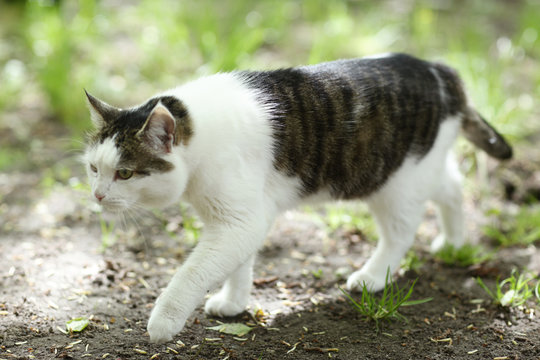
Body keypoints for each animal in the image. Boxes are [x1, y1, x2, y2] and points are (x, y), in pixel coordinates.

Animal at [83, 53, 510, 344]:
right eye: (93, 169)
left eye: (125, 173)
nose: (98, 195)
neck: (199, 133)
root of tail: (439, 70)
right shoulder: (239, 218)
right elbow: (237, 263)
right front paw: (234, 301)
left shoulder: (240, 221)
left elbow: (193, 272)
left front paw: (164, 321)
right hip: (419, 167)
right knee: (453, 185)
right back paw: (453, 241)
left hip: (395, 182)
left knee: (401, 233)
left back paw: (373, 276)